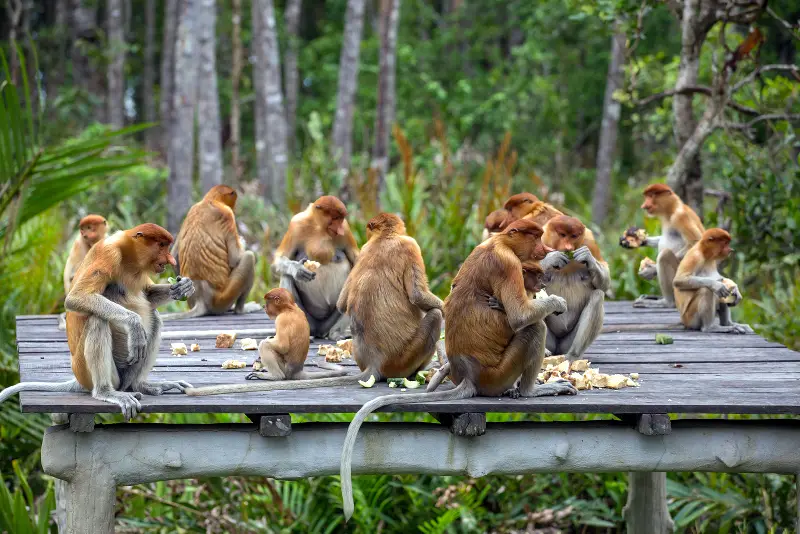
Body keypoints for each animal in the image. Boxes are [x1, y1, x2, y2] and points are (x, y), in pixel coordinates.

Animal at [0, 224, 196, 419]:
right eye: (161, 245)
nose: (171, 260)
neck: (129, 255)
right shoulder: (108, 254)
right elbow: (76, 298)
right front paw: (134, 325)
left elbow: (148, 295)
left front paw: (183, 287)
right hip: (86, 371)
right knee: (98, 320)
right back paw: (106, 391)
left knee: (155, 317)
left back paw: (141, 385)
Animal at [161, 185, 259, 320]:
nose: (235, 207)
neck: (210, 200)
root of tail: (201, 299)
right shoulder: (227, 214)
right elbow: (235, 258)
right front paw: (242, 241)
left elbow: (174, 255)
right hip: (221, 299)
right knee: (249, 257)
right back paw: (241, 309)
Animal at [185, 212, 440, 396]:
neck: (385, 238)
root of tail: (375, 364)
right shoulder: (410, 246)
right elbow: (419, 296)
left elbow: (344, 300)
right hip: (403, 359)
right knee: (434, 316)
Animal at [271, 196, 359, 340]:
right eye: (335, 218)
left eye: (341, 219)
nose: (339, 230)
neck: (319, 228)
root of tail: (320, 328)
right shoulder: (296, 225)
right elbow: (278, 260)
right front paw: (298, 270)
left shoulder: (346, 230)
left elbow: (357, 259)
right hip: (307, 317)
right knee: (286, 276)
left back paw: (336, 334)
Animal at [337, 219, 574, 520]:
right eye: (535, 237)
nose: (543, 249)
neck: (499, 242)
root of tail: (471, 377)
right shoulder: (507, 264)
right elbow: (520, 316)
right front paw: (556, 302)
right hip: (497, 373)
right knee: (533, 328)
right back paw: (530, 391)